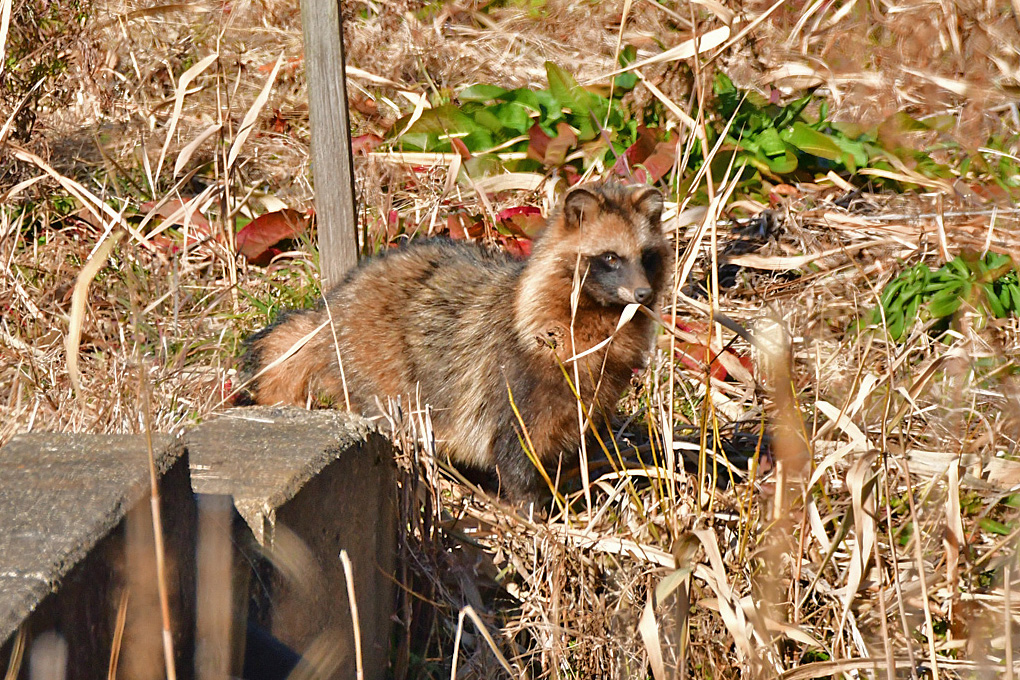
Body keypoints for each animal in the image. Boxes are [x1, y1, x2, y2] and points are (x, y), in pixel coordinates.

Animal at [237, 180, 669, 499]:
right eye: (610, 258)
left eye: (647, 256)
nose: (643, 294)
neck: (600, 316)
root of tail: (332, 306)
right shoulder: (515, 380)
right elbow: (514, 454)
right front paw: (533, 514)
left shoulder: (591, 395)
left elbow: (574, 447)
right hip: (379, 368)